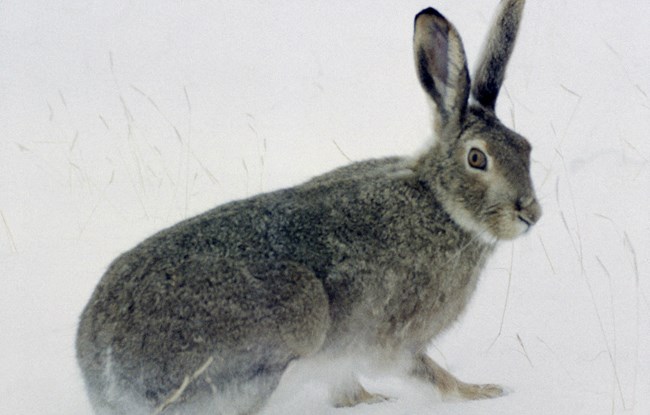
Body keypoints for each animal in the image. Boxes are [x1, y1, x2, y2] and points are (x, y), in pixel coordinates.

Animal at [76, 0, 540, 413]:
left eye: (525, 147)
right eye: (477, 158)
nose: (530, 214)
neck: (441, 202)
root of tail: (104, 376)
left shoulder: (343, 359)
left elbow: (347, 387)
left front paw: (369, 402)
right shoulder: (394, 340)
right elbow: (426, 372)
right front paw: (482, 392)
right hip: (293, 320)